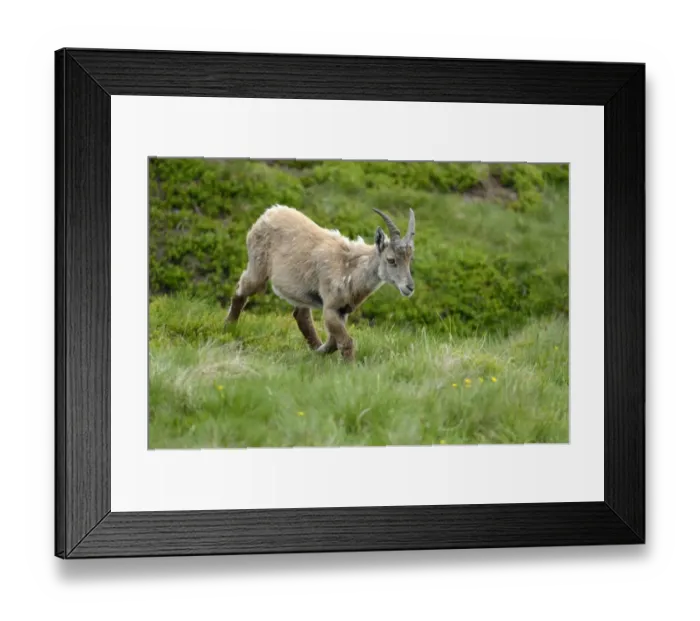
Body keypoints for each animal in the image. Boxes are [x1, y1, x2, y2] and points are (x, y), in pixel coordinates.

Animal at [225, 204, 416, 361]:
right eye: (391, 260)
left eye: (409, 259)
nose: (410, 287)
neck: (350, 269)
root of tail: (268, 213)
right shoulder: (330, 307)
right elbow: (345, 342)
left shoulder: (342, 310)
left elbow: (334, 342)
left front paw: (319, 352)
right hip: (258, 267)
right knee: (241, 291)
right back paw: (228, 328)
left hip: (300, 290)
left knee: (301, 315)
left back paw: (314, 347)